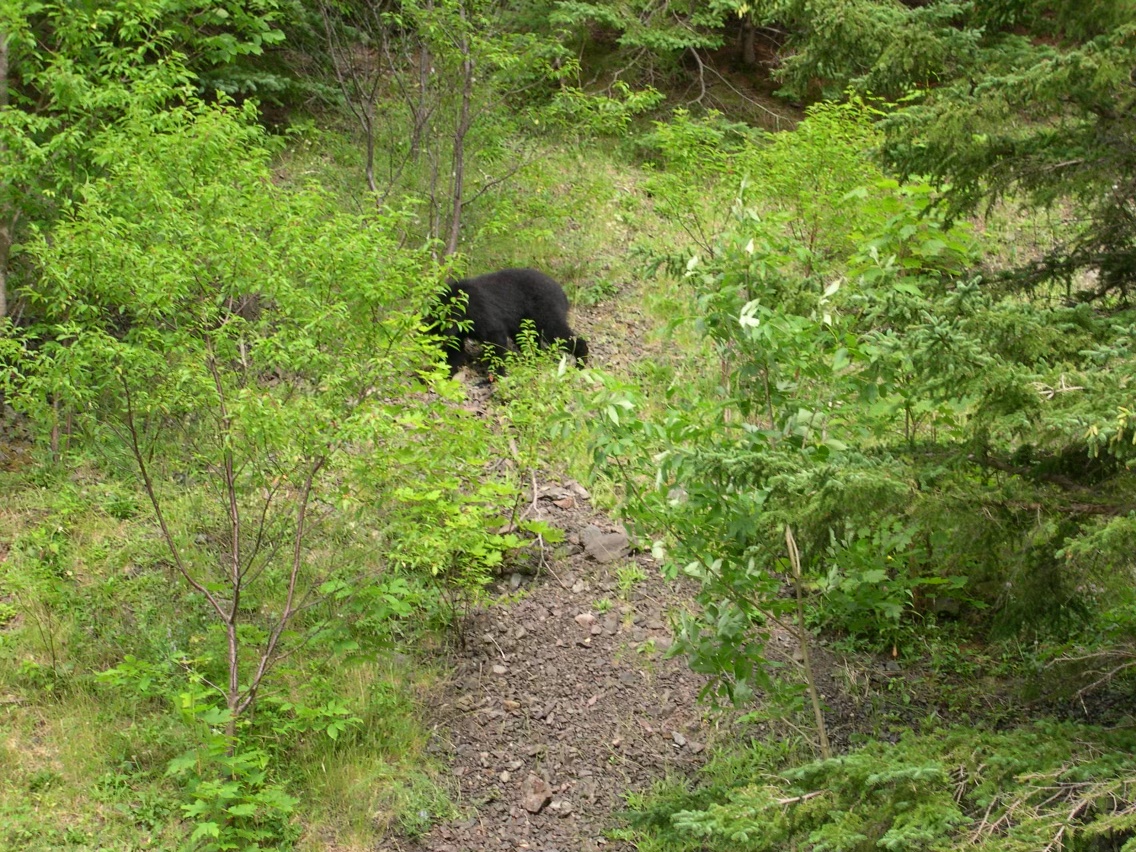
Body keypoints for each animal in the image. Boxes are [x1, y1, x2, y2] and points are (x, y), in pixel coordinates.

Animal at [434, 268, 588, 376]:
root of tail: (562, 292)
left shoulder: (480, 313)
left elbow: (495, 338)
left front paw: (498, 375)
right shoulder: (458, 332)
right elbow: (455, 351)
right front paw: (445, 371)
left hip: (545, 309)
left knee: (557, 332)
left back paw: (581, 362)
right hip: (525, 322)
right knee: (529, 341)